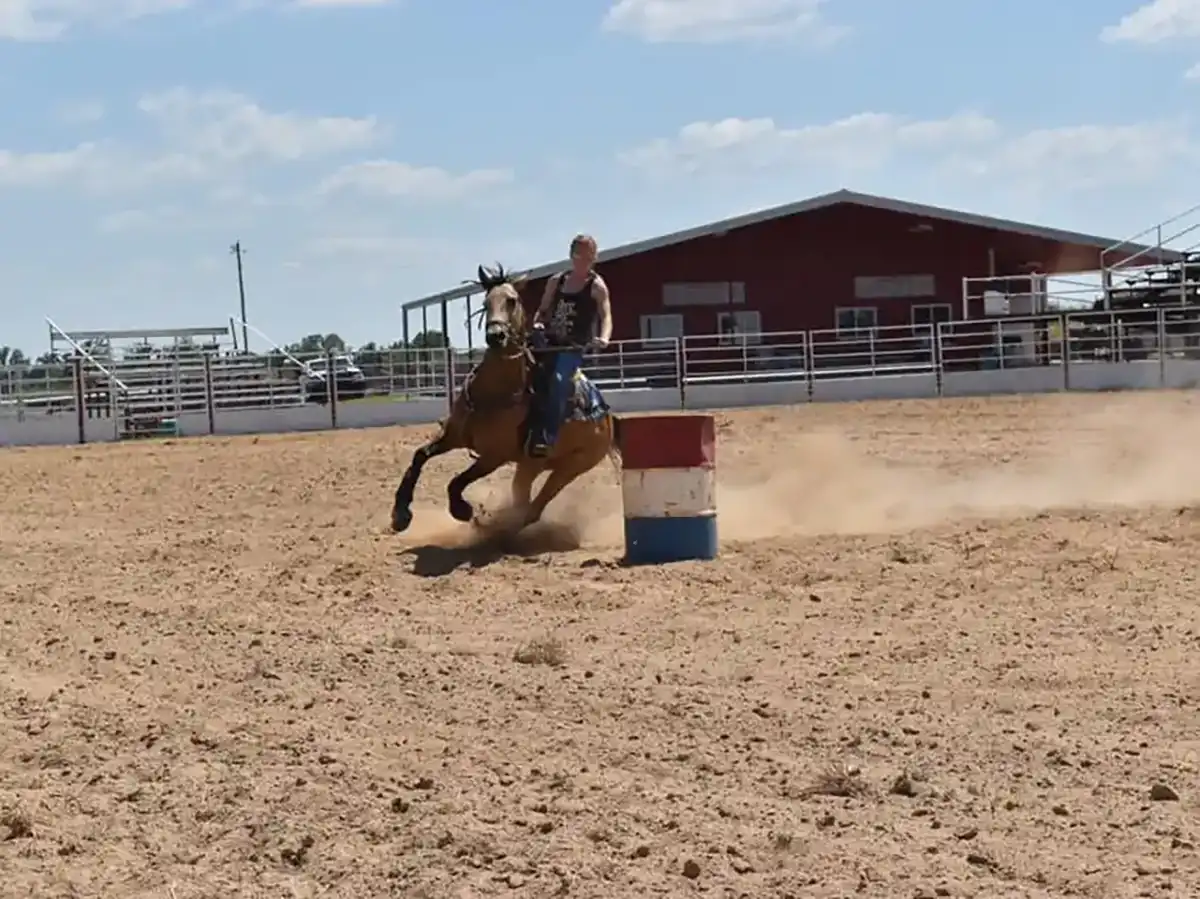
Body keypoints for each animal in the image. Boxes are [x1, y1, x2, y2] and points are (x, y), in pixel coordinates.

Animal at [393, 262, 624, 537]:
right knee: (523, 499)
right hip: (533, 465)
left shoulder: (494, 456)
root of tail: (607, 416)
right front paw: (400, 514)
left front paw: (462, 510)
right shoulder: (453, 436)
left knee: (533, 507)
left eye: (512, 300)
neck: (493, 392)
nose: (496, 335)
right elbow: (419, 457)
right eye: (485, 301)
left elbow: (457, 482)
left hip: (570, 466)